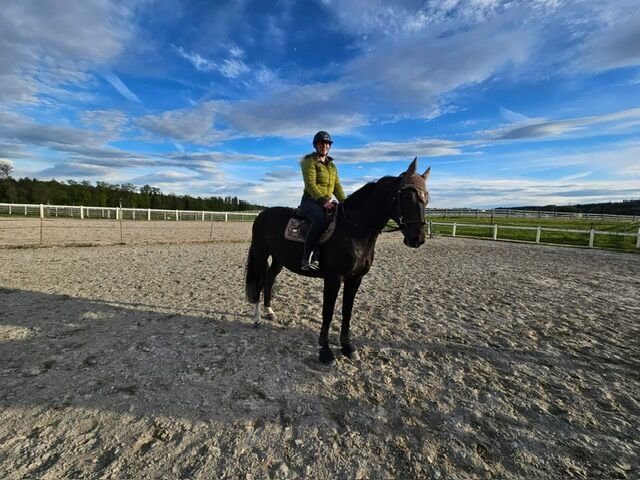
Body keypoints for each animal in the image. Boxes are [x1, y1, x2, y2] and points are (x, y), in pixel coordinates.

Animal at [244, 158, 430, 364]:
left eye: (426, 199)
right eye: (409, 198)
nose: (418, 238)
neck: (354, 230)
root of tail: (262, 215)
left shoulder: (355, 279)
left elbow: (347, 312)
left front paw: (348, 347)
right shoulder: (333, 278)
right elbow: (328, 312)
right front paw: (325, 351)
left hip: (279, 260)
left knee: (269, 279)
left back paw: (270, 312)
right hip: (261, 255)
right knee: (259, 283)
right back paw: (257, 319)